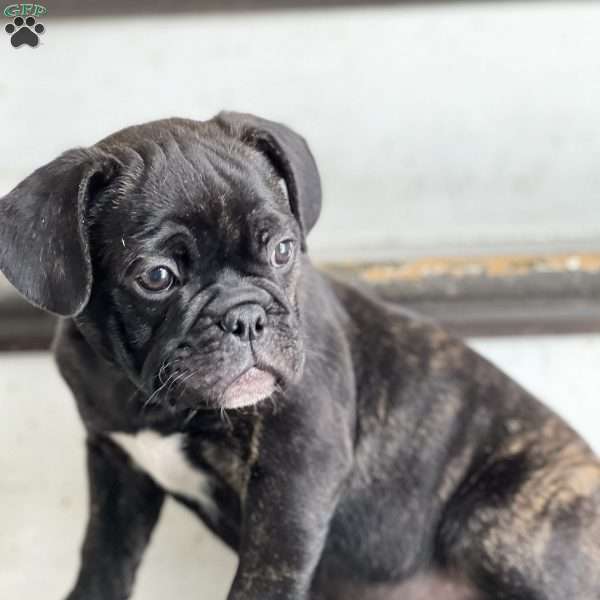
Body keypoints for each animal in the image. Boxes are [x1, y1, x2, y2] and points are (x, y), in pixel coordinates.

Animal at [1, 113, 600, 600]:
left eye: (283, 250)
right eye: (157, 277)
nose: (246, 317)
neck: (146, 398)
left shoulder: (297, 465)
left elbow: (263, 579)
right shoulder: (117, 470)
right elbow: (102, 562)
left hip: (497, 526)